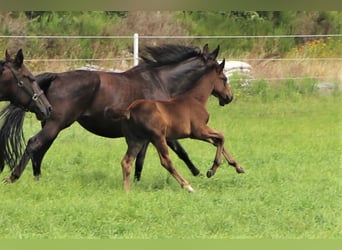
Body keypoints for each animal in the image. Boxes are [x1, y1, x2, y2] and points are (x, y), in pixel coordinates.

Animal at [0, 44, 227, 183]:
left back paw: (37, 178)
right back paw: (13, 177)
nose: (228, 97)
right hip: (56, 124)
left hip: (51, 124)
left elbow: (148, 157)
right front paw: (200, 172)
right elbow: (174, 152)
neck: (161, 81)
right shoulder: (158, 131)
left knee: (40, 149)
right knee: (34, 144)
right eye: (223, 76)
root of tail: (56, 77)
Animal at [106, 58, 243, 191]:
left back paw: (127, 191)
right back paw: (188, 186)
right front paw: (212, 170)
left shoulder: (197, 134)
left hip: (136, 140)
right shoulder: (199, 130)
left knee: (126, 162)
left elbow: (217, 142)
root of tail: (129, 110)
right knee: (166, 161)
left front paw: (238, 167)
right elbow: (221, 137)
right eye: (224, 79)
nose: (229, 97)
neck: (196, 99)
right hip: (158, 138)